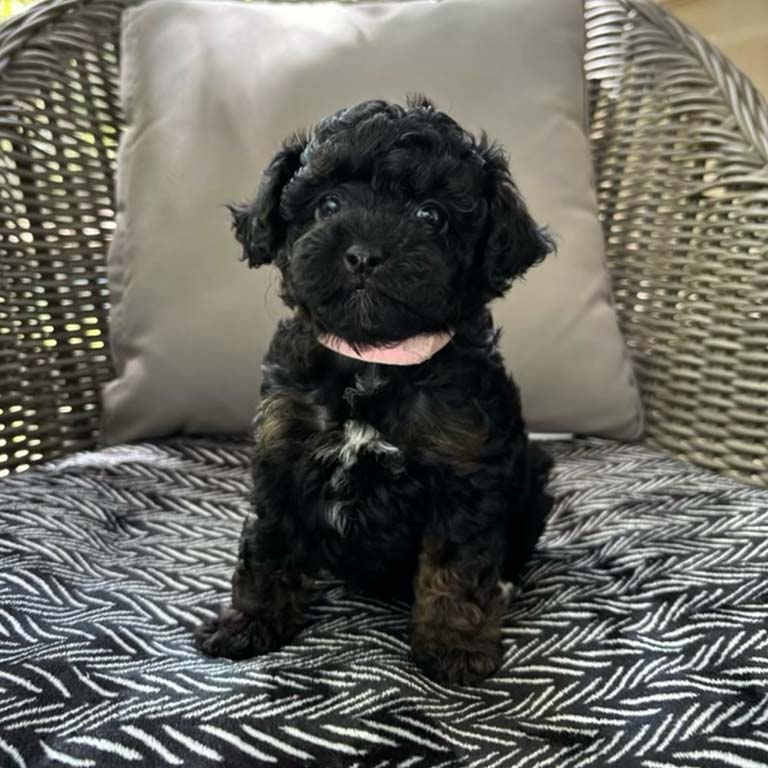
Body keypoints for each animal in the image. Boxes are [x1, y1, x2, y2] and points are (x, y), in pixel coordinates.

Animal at [198, 94, 556, 684]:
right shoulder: (282, 453)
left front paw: (455, 642)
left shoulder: (465, 471)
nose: (364, 254)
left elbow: (456, 563)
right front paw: (251, 621)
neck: (373, 360)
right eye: (328, 205)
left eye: (431, 215)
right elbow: (269, 544)